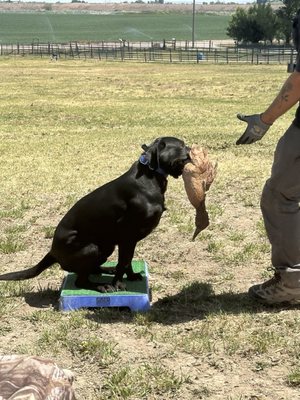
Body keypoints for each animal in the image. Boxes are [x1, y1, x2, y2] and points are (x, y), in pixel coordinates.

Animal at [0, 137, 190, 290]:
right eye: (182, 145)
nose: (191, 148)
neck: (150, 177)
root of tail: (52, 252)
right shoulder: (127, 235)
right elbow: (124, 261)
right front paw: (117, 284)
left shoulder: (128, 240)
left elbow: (127, 261)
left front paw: (130, 276)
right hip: (91, 249)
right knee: (81, 280)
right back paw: (102, 286)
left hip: (106, 246)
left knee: (93, 269)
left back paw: (107, 270)